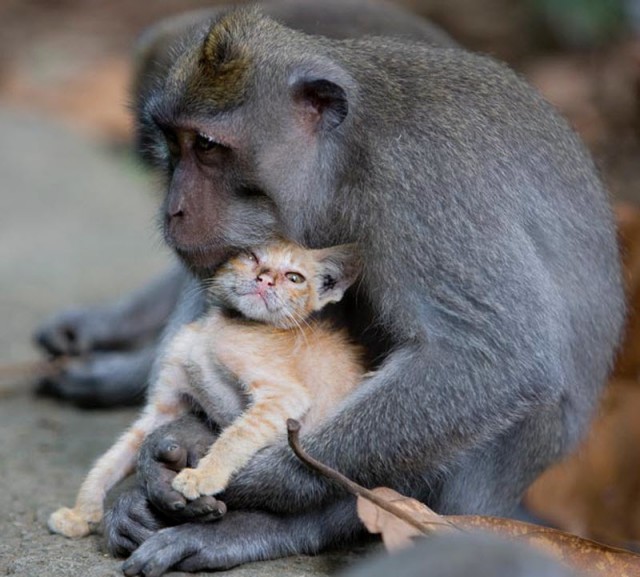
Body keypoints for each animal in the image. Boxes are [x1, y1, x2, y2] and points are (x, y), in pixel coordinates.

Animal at [47, 238, 364, 536]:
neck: (219, 326)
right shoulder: (164, 405)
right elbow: (115, 456)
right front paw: (81, 512)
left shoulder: (284, 396)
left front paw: (203, 476)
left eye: (295, 277)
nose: (265, 279)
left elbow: (236, 435)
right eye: (251, 257)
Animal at [81, 5, 624, 576]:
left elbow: (494, 358)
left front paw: (258, 478)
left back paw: (274, 526)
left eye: (206, 146)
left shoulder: (419, 185)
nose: (174, 209)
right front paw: (163, 450)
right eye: (174, 143)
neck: (345, 160)